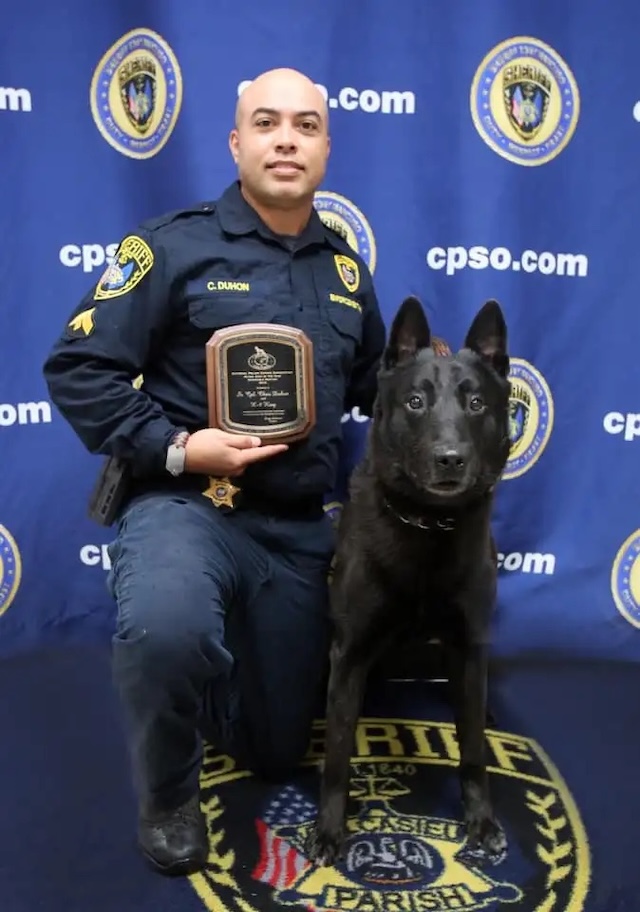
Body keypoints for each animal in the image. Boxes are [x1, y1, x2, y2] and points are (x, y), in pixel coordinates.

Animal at [304, 298, 510, 868]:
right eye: (416, 401)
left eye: (477, 403)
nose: (450, 459)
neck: (428, 527)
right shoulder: (351, 652)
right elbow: (338, 753)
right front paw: (329, 830)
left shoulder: (468, 646)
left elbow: (473, 746)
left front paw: (481, 820)